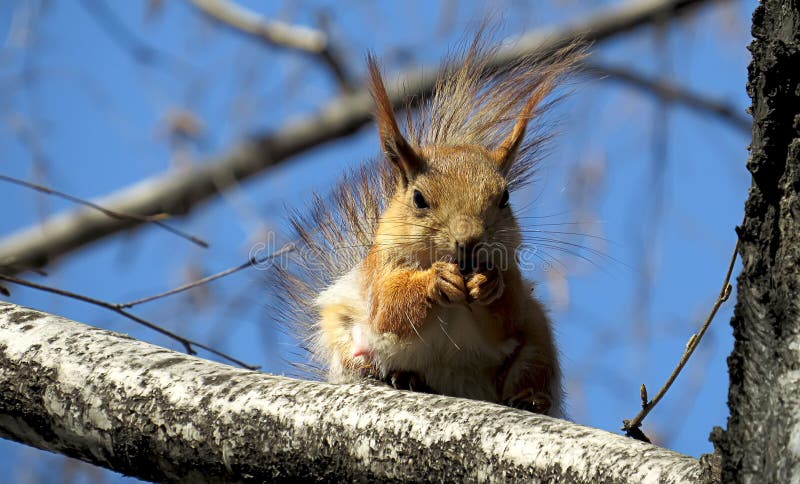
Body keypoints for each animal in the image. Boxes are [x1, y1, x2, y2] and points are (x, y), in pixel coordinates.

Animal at [273, 36, 582, 418]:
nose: (468, 240)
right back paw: (392, 375)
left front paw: (489, 284)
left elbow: (508, 316)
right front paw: (435, 281)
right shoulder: (380, 271)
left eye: (505, 197)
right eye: (419, 199)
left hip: (538, 342)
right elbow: (388, 309)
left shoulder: (514, 279)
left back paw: (531, 398)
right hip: (338, 329)